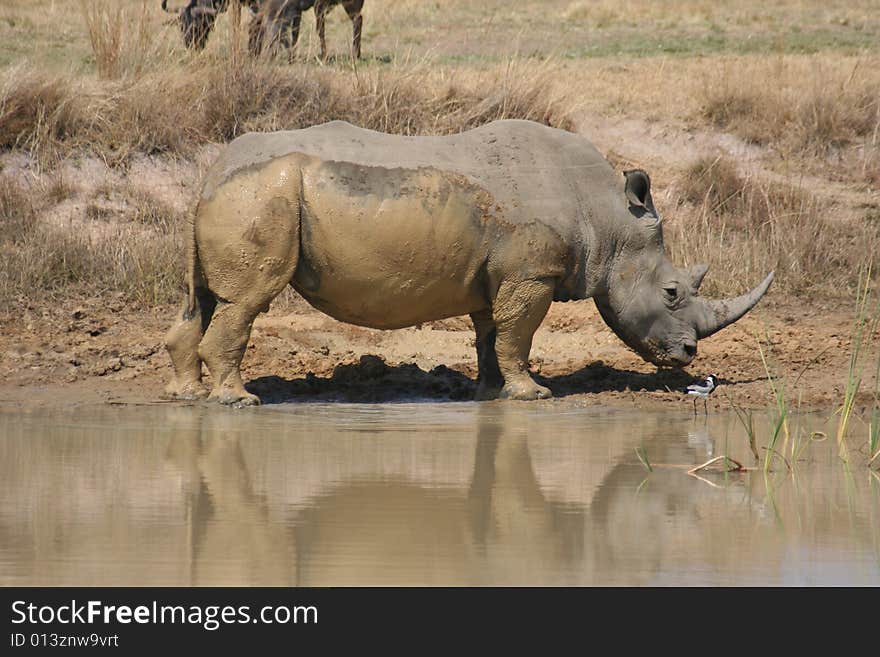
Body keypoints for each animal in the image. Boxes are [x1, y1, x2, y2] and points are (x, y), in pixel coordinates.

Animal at [163, 120, 768, 402]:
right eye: (672, 292)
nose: (689, 355)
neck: (607, 216)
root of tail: (211, 173)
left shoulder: (496, 274)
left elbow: (491, 334)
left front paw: (491, 394)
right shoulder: (531, 273)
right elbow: (518, 333)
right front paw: (533, 394)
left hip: (244, 195)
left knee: (204, 300)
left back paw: (188, 395)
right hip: (263, 194)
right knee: (246, 302)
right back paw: (239, 401)